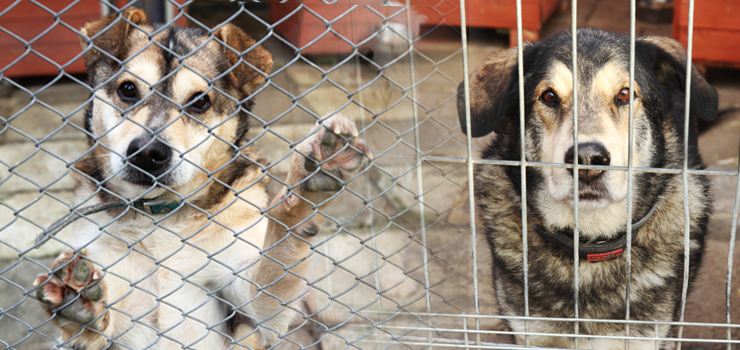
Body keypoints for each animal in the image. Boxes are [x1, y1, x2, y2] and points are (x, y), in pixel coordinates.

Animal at [33, 7, 370, 350]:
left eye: (200, 102)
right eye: (128, 90)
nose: (148, 153)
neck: (159, 216)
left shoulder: (255, 309)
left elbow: (275, 263)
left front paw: (305, 188)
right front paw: (78, 305)